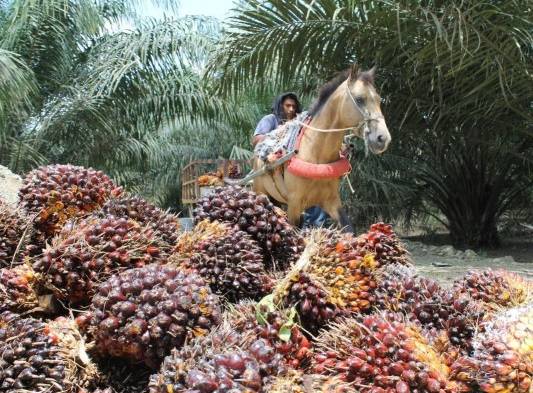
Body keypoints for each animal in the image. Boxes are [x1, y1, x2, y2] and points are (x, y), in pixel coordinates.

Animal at [251, 65, 392, 230]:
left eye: (379, 99)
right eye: (359, 99)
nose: (383, 138)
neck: (316, 155)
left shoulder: (332, 201)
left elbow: (349, 229)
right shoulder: (294, 205)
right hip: (260, 193)